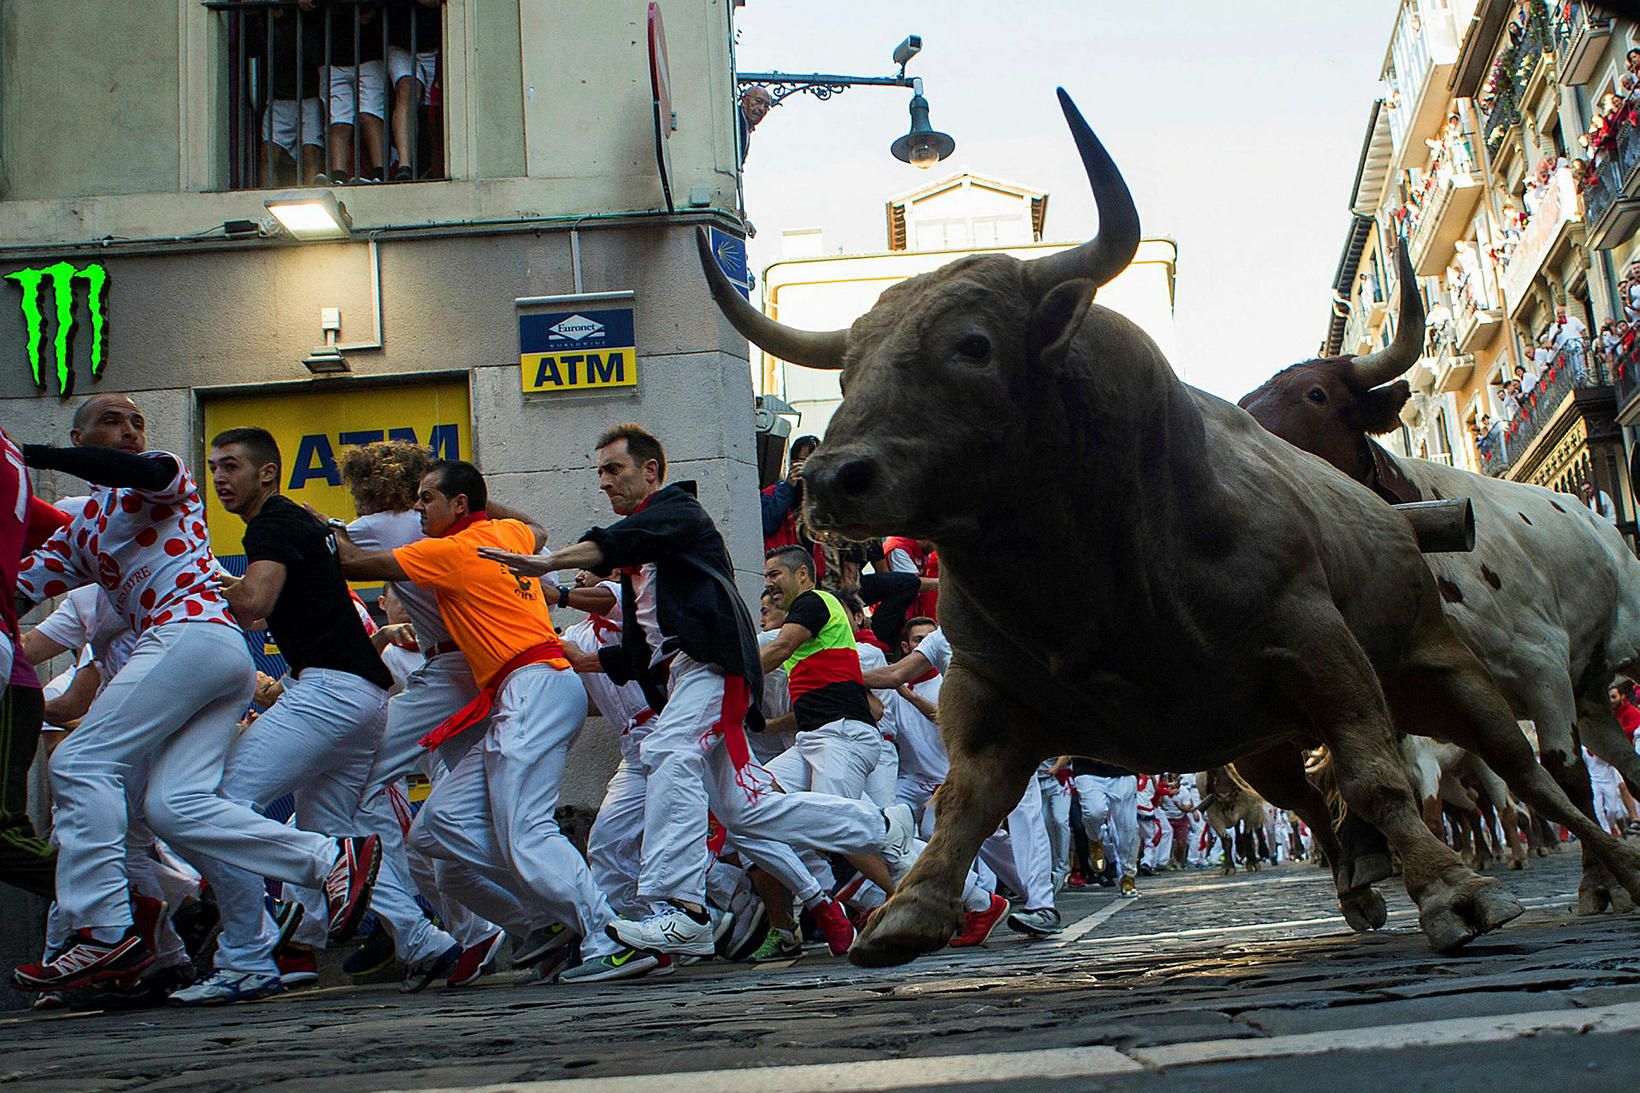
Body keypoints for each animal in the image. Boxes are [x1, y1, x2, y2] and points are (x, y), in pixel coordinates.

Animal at [692, 91, 1640, 964]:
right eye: (848, 367)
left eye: (973, 344)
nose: (829, 478)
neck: (1090, 582)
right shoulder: (986, 690)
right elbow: (963, 800)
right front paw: (910, 908)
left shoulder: (1323, 649)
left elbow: (1377, 775)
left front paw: (1454, 890)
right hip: (1265, 740)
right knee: (1313, 800)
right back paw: (1360, 882)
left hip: (1449, 670)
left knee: (1537, 777)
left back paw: (1608, 872)